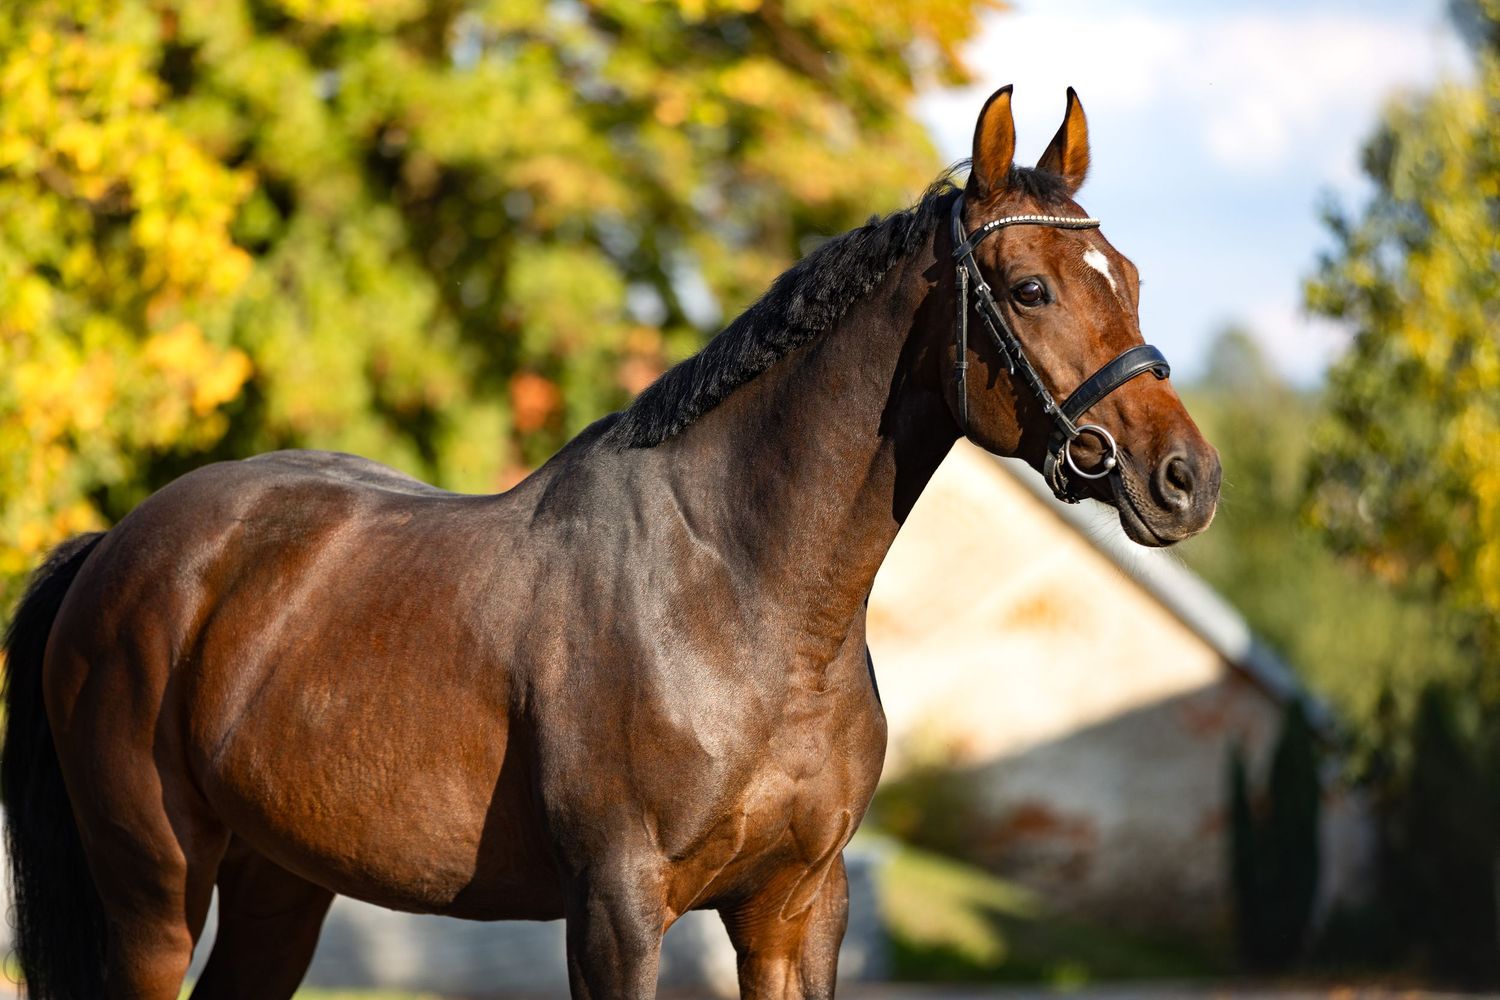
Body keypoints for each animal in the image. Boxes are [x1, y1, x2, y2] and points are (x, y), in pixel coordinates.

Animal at [2, 86, 1219, 1000]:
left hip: (278, 883)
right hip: (154, 887)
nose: (1186, 479)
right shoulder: (618, 909)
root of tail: (118, 548)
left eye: (1131, 280)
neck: (741, 598)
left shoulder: (797, 907)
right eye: (1029, 286)